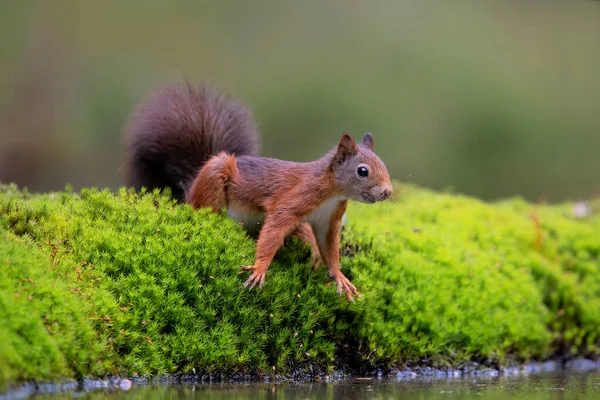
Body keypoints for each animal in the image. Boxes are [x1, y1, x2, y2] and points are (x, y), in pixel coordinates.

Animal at [124, 82, 392, 300]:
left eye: (384, 165)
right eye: (363, 171)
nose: (387, 192)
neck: (332, 193)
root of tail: (192, 184)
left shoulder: (329, 221)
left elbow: (330, 249)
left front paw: (339, 276)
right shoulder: (295, 199)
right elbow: (273, 231)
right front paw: (260, 268)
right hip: (214, 179)